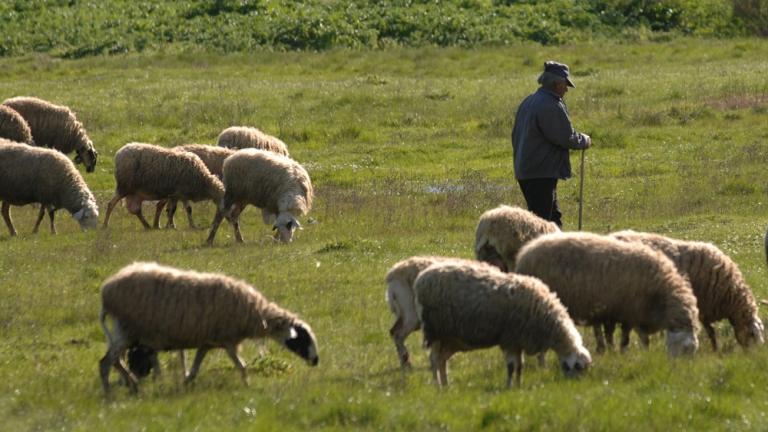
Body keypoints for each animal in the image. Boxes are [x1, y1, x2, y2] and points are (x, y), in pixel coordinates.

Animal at [100, 260, 320, 394]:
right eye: (302, 339)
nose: (316, 361)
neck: (255, 313)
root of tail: (107, 290)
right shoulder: (228, 340)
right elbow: (242, 366)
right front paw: (248, 386)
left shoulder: (207, 341)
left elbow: (196, 366)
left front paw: (187, 382)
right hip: (127, 331)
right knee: (106, 362)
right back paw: (112, 392)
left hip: (127, 333)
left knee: (115, 360)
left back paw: (131, 384)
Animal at [414, 258, 592, 386]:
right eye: (579, 368)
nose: (575, 385)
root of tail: (421, 278)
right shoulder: (510, 339)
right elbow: (511, 366)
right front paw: (509, 386)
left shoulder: (519, 340)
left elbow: (520, 366)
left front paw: (519, 386)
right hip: (435, 330)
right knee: (434, 359)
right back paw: (438, 386)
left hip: (452, 338)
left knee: (442, 359)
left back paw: (446, 385)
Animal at [512, 233, 700, 358]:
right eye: (686, 349)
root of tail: (525, 253)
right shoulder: (628, 311)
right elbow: (627, 338)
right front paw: (624, 352)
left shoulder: (627, 312)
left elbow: (632, 336)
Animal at [608, 230, 764, 352]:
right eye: (752, 334)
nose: (755, 355)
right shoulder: (701, 305)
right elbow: (711, 331)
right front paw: (715, 350)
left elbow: (710, 331)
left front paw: (715, 349)